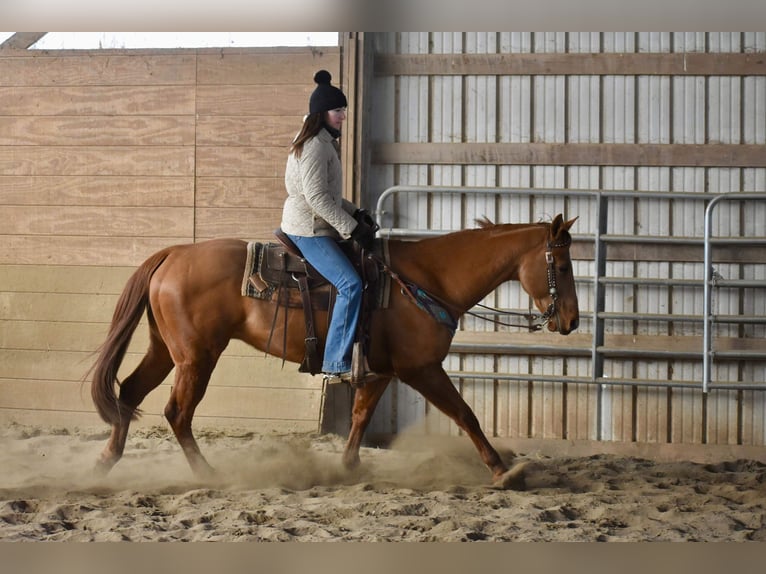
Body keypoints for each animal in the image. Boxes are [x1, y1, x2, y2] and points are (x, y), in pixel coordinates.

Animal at [90, 215, 580, 490]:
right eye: (562, 264)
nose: (572, 321)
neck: (428, 278)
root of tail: (173, 253)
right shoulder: (421, 369)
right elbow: (466, 415)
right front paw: (503, 471)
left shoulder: (382, 371)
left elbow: (361, 417)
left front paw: (348, 468)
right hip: (197, 357)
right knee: (177, 412)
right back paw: (207, 474)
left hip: (166, 350)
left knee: (129, 392)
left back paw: (106, 462)